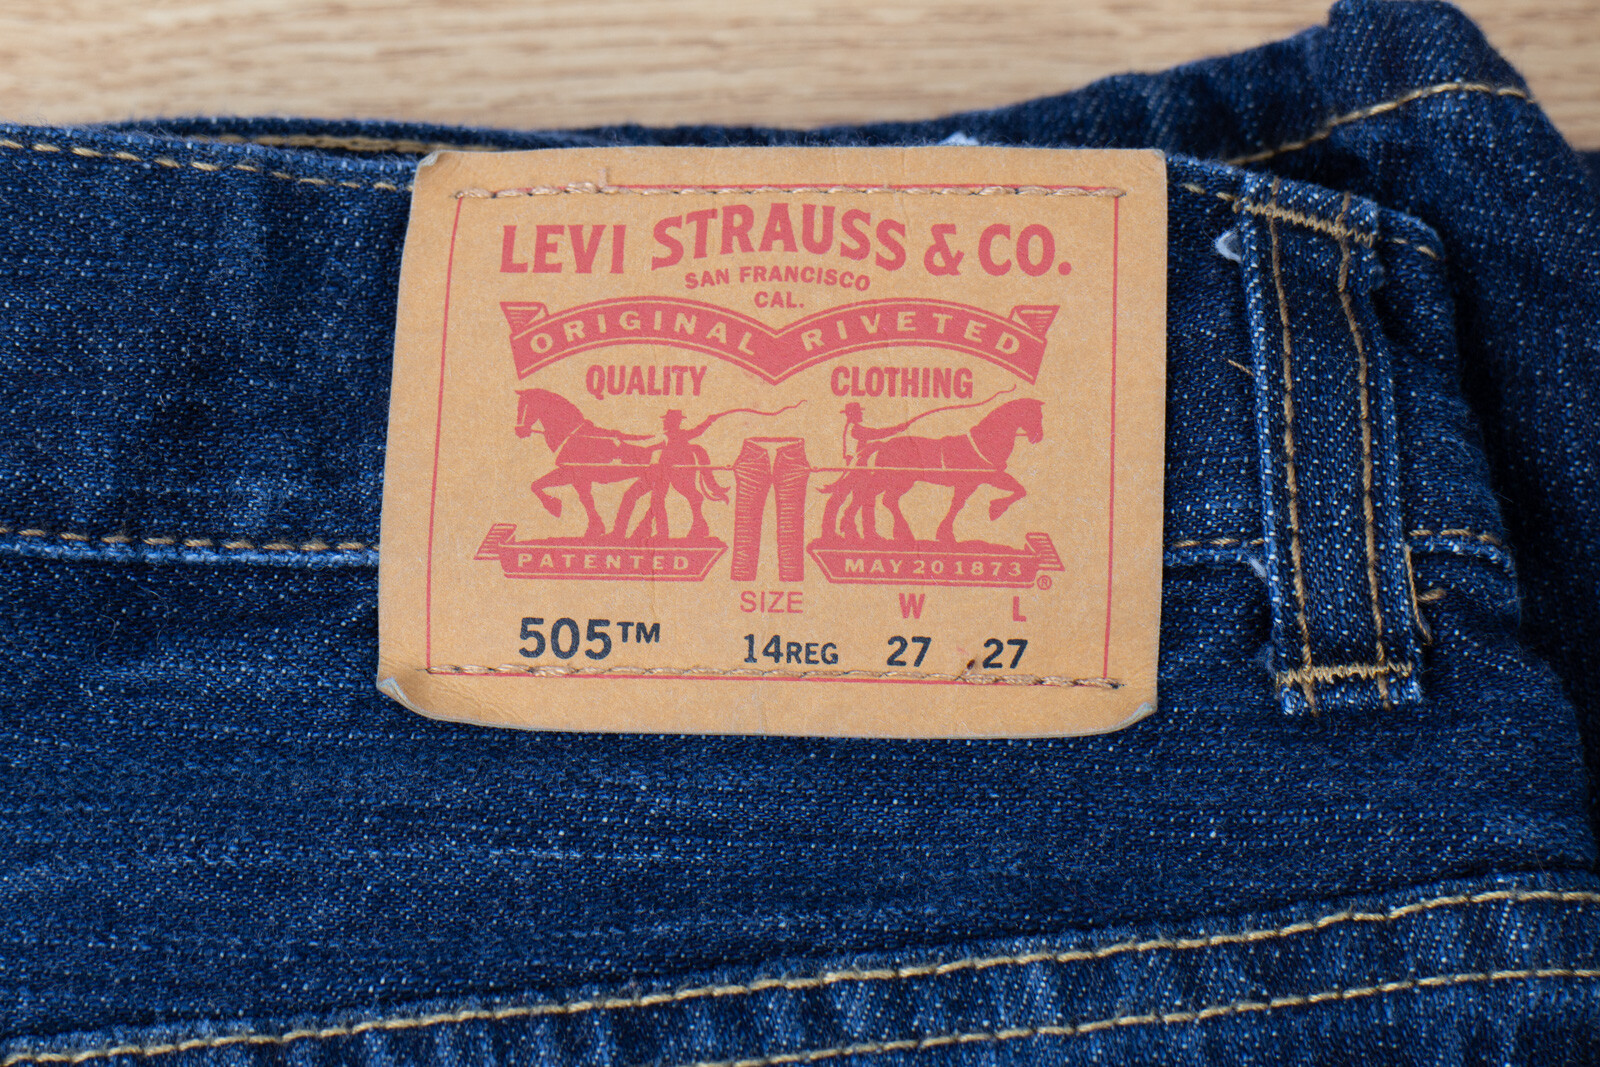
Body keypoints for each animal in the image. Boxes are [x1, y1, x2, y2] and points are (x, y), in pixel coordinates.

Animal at [818, 398, 1043, 544]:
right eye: (1036, 416)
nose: (1038, 437)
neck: (983, 443)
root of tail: (883, 444)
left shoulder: (973, 483)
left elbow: (959, 504)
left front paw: (946, 535)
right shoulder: (982, 479)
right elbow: (1017, 490)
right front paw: (995, 510)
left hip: (894, 480)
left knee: (872, 497)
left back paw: (862, 532)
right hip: (897, 479)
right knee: (874, 497)